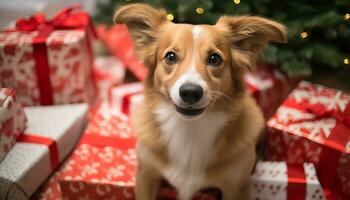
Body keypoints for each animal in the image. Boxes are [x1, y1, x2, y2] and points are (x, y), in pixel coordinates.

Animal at [115, 3, 288, 200]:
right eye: (171, 57)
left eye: (214, 58)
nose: (190, 93)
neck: (190, 130)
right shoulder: (146, 173)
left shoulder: (237, 186)